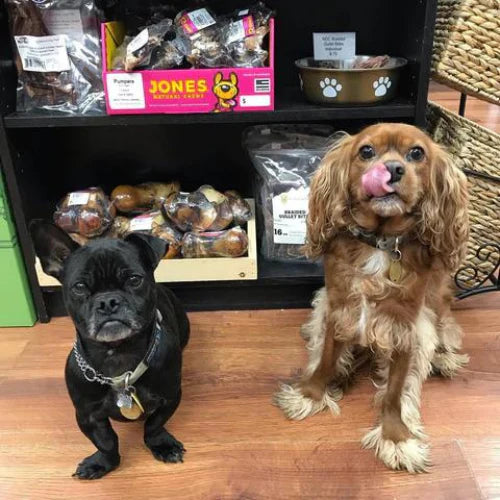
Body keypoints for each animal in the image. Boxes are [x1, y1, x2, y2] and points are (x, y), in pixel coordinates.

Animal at [30, 223, 189, 480]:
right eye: (79, 287)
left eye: (134, 279)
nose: (108, 302)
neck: (117, 353)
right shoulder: (87, 415)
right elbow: (106, 442)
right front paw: (102, 463)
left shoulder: (170, 397)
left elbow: (153, 425)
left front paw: (162, 445)